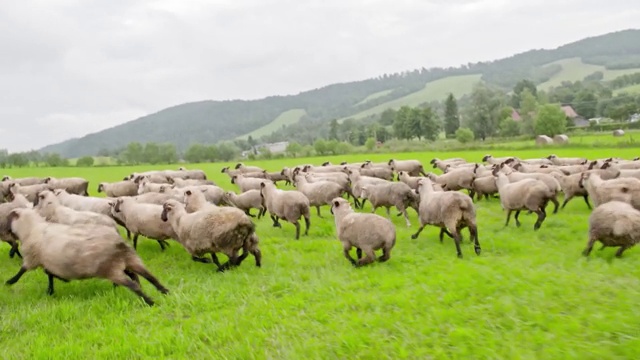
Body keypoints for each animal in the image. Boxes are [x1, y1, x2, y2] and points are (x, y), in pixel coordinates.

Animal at [5, 207, 169, 306]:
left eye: (8, 217)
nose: (4, 230)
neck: (30, 229)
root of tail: (118, 242)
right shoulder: (48, 262)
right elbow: (49, 274)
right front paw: (52, 289)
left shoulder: (32, 259)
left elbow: (22, 270)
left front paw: (10, 281)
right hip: (131, 261)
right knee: (149, 277)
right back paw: (164, 291)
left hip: (111, 269)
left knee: (133, 284)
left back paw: (150, 301)